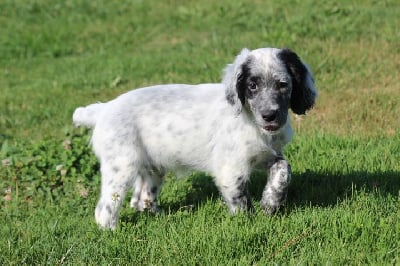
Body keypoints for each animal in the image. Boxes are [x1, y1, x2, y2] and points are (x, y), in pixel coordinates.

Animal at [72, 46, 316, 229]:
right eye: (252, 86)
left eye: (283, 85)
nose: (269, 115)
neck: (252, 122)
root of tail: (104, 109)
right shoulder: (231, 168)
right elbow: (241, 200)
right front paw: (250, 223)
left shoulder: (266, 154)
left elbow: (284, 169)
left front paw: (271, 203)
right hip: (121, 166)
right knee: (105, 208)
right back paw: (112, 231)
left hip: (151, 167)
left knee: (141, 199)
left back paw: (161, 218)